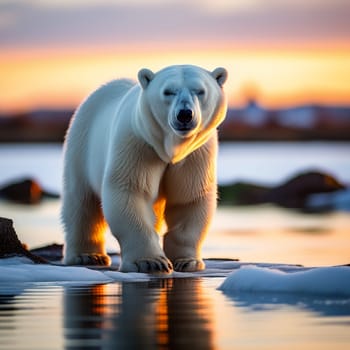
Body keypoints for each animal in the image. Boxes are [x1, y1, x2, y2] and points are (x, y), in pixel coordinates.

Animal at [61, 65, 228, 274]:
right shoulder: (137, 143)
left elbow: (189, 197)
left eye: (200, 91)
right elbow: (131, 191)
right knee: (82, 202)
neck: (170, 148)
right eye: (168, 91)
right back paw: (87, 256)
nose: (184, 114)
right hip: (82, 144)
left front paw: (187, 261)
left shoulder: (196, 154)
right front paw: (151, 262)